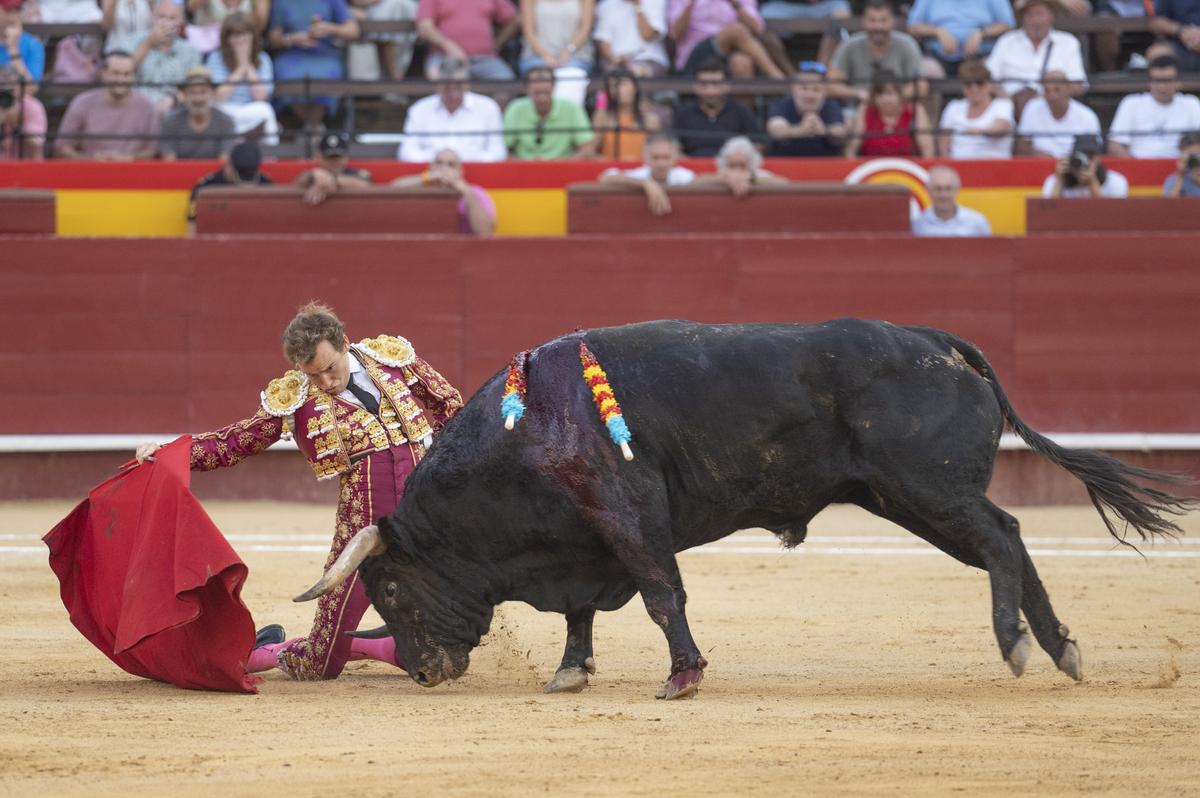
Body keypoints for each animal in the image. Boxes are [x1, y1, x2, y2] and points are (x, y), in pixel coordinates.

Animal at [292, 316, 1190, 696]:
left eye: (392, 586)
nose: (422, 671)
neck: (529, 428)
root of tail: (942, 342)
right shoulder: (585, 538)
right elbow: (583, 612)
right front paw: (570, 672)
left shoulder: (627, 518)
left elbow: (661, 595)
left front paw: (683, 677)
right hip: (910, 499)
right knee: (1011, 542)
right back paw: (1063, 649)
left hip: (929, 490)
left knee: (1003, 540)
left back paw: (1017, 647)